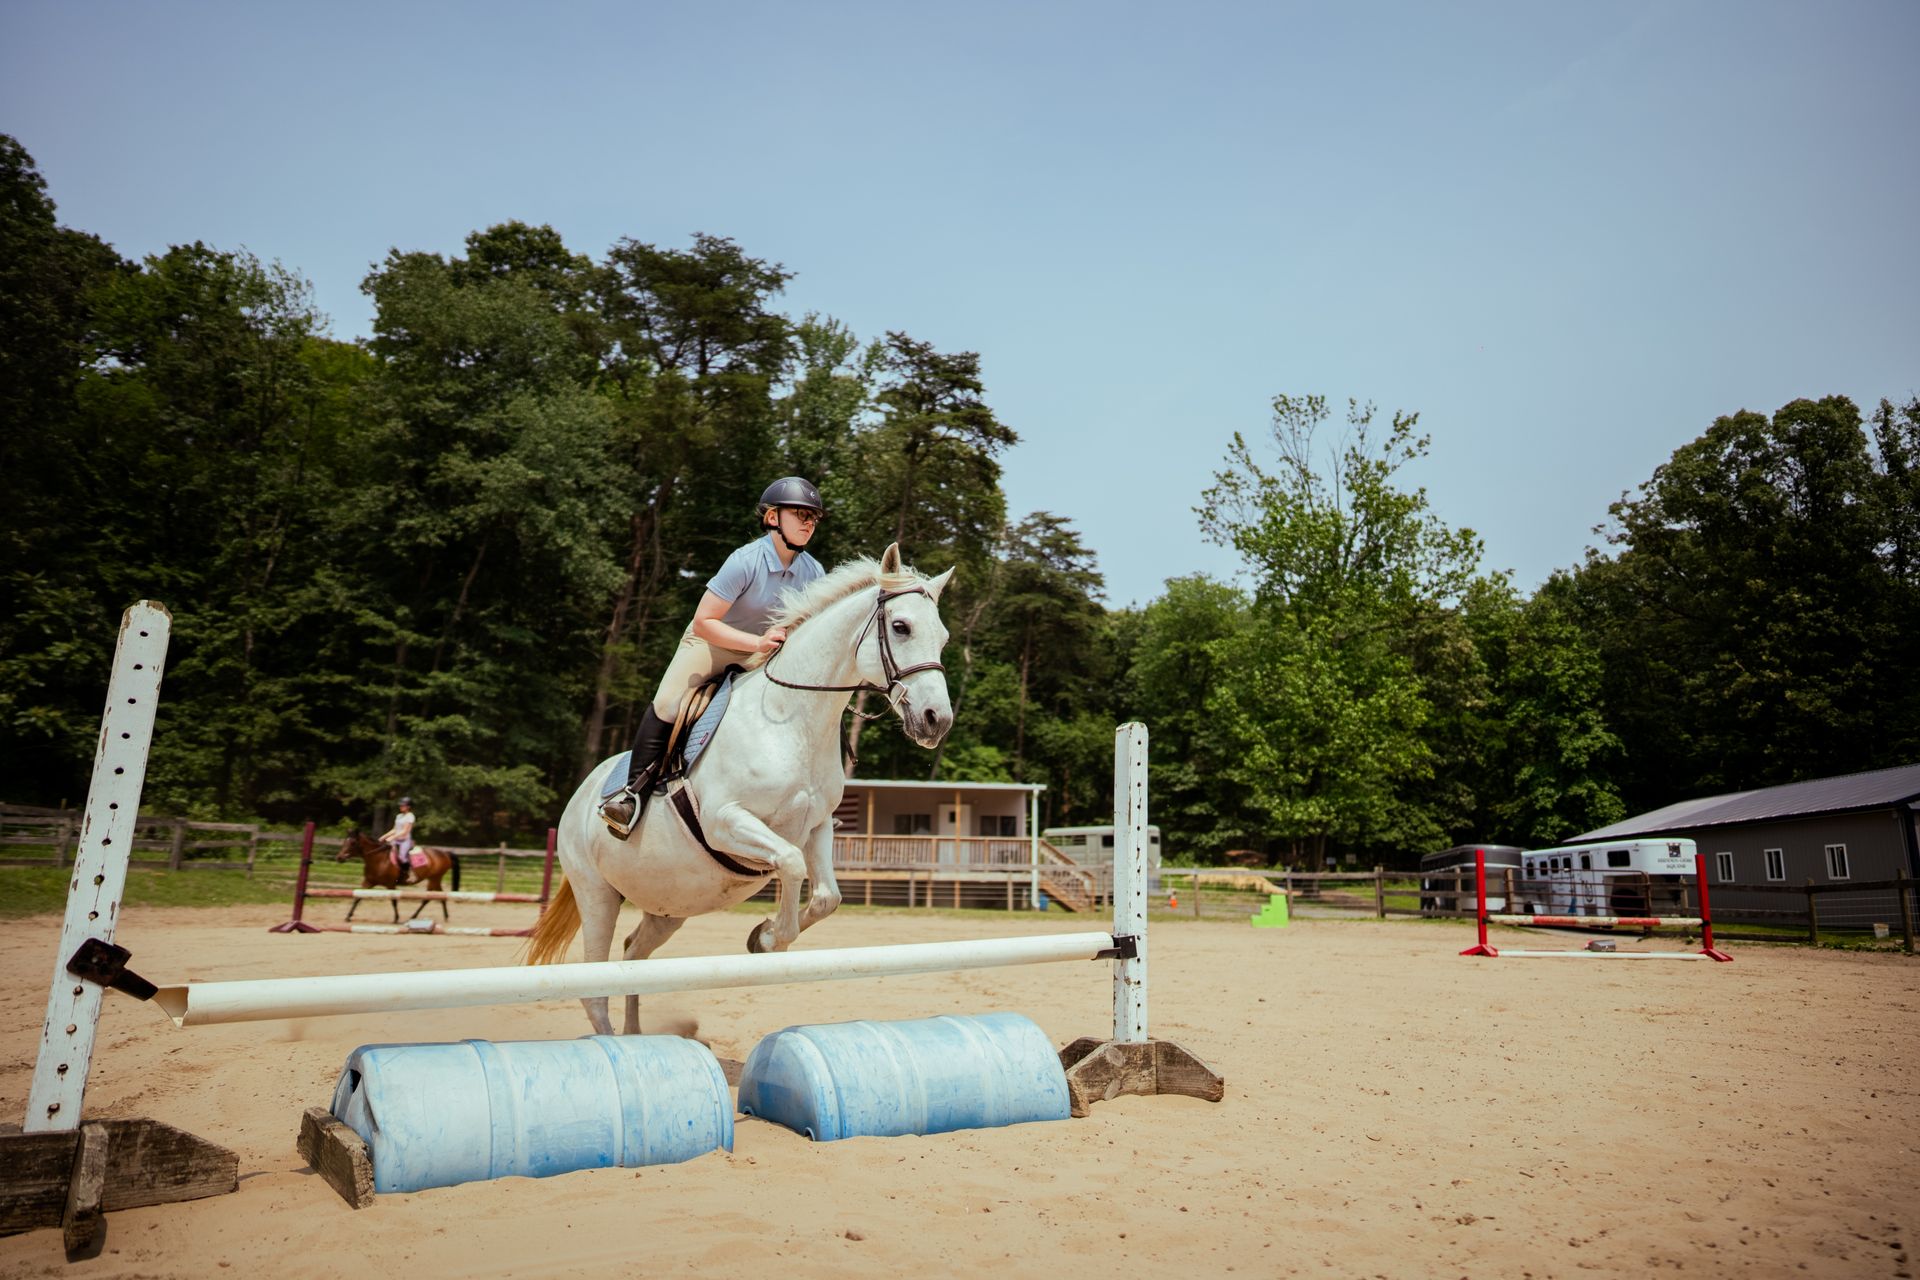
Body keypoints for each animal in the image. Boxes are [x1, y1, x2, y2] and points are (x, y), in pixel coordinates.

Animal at [525, 543, 954, 1036]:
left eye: (943, 638)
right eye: (901, 627)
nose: (936, 721)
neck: (793, 719)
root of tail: (577, 800)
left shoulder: (817, 826)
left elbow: (827, 896)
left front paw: (762, 936)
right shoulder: (725, 821)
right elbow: (790, 865)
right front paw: (769, 938)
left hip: (670, 905)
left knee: (635, 955)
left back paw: (637, 1038)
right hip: (596, 893)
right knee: (595, 990)